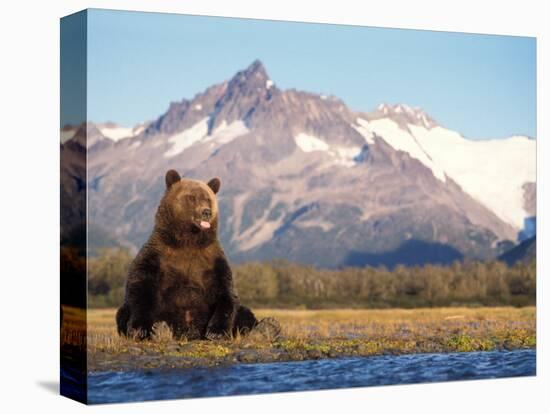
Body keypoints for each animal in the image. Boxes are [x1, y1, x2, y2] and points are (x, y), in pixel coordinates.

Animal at [115, 169, 262, 340]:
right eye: (191, 197)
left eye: (208, 198)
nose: (206, 212)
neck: (188, 240)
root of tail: (188, 333)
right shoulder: (157, 256)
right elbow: (140, 286)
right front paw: (140, 329)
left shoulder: (212, 260)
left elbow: (226, 294)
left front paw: (216, 332)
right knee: (122, 312)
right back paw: (160, 328)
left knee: (245, 313)